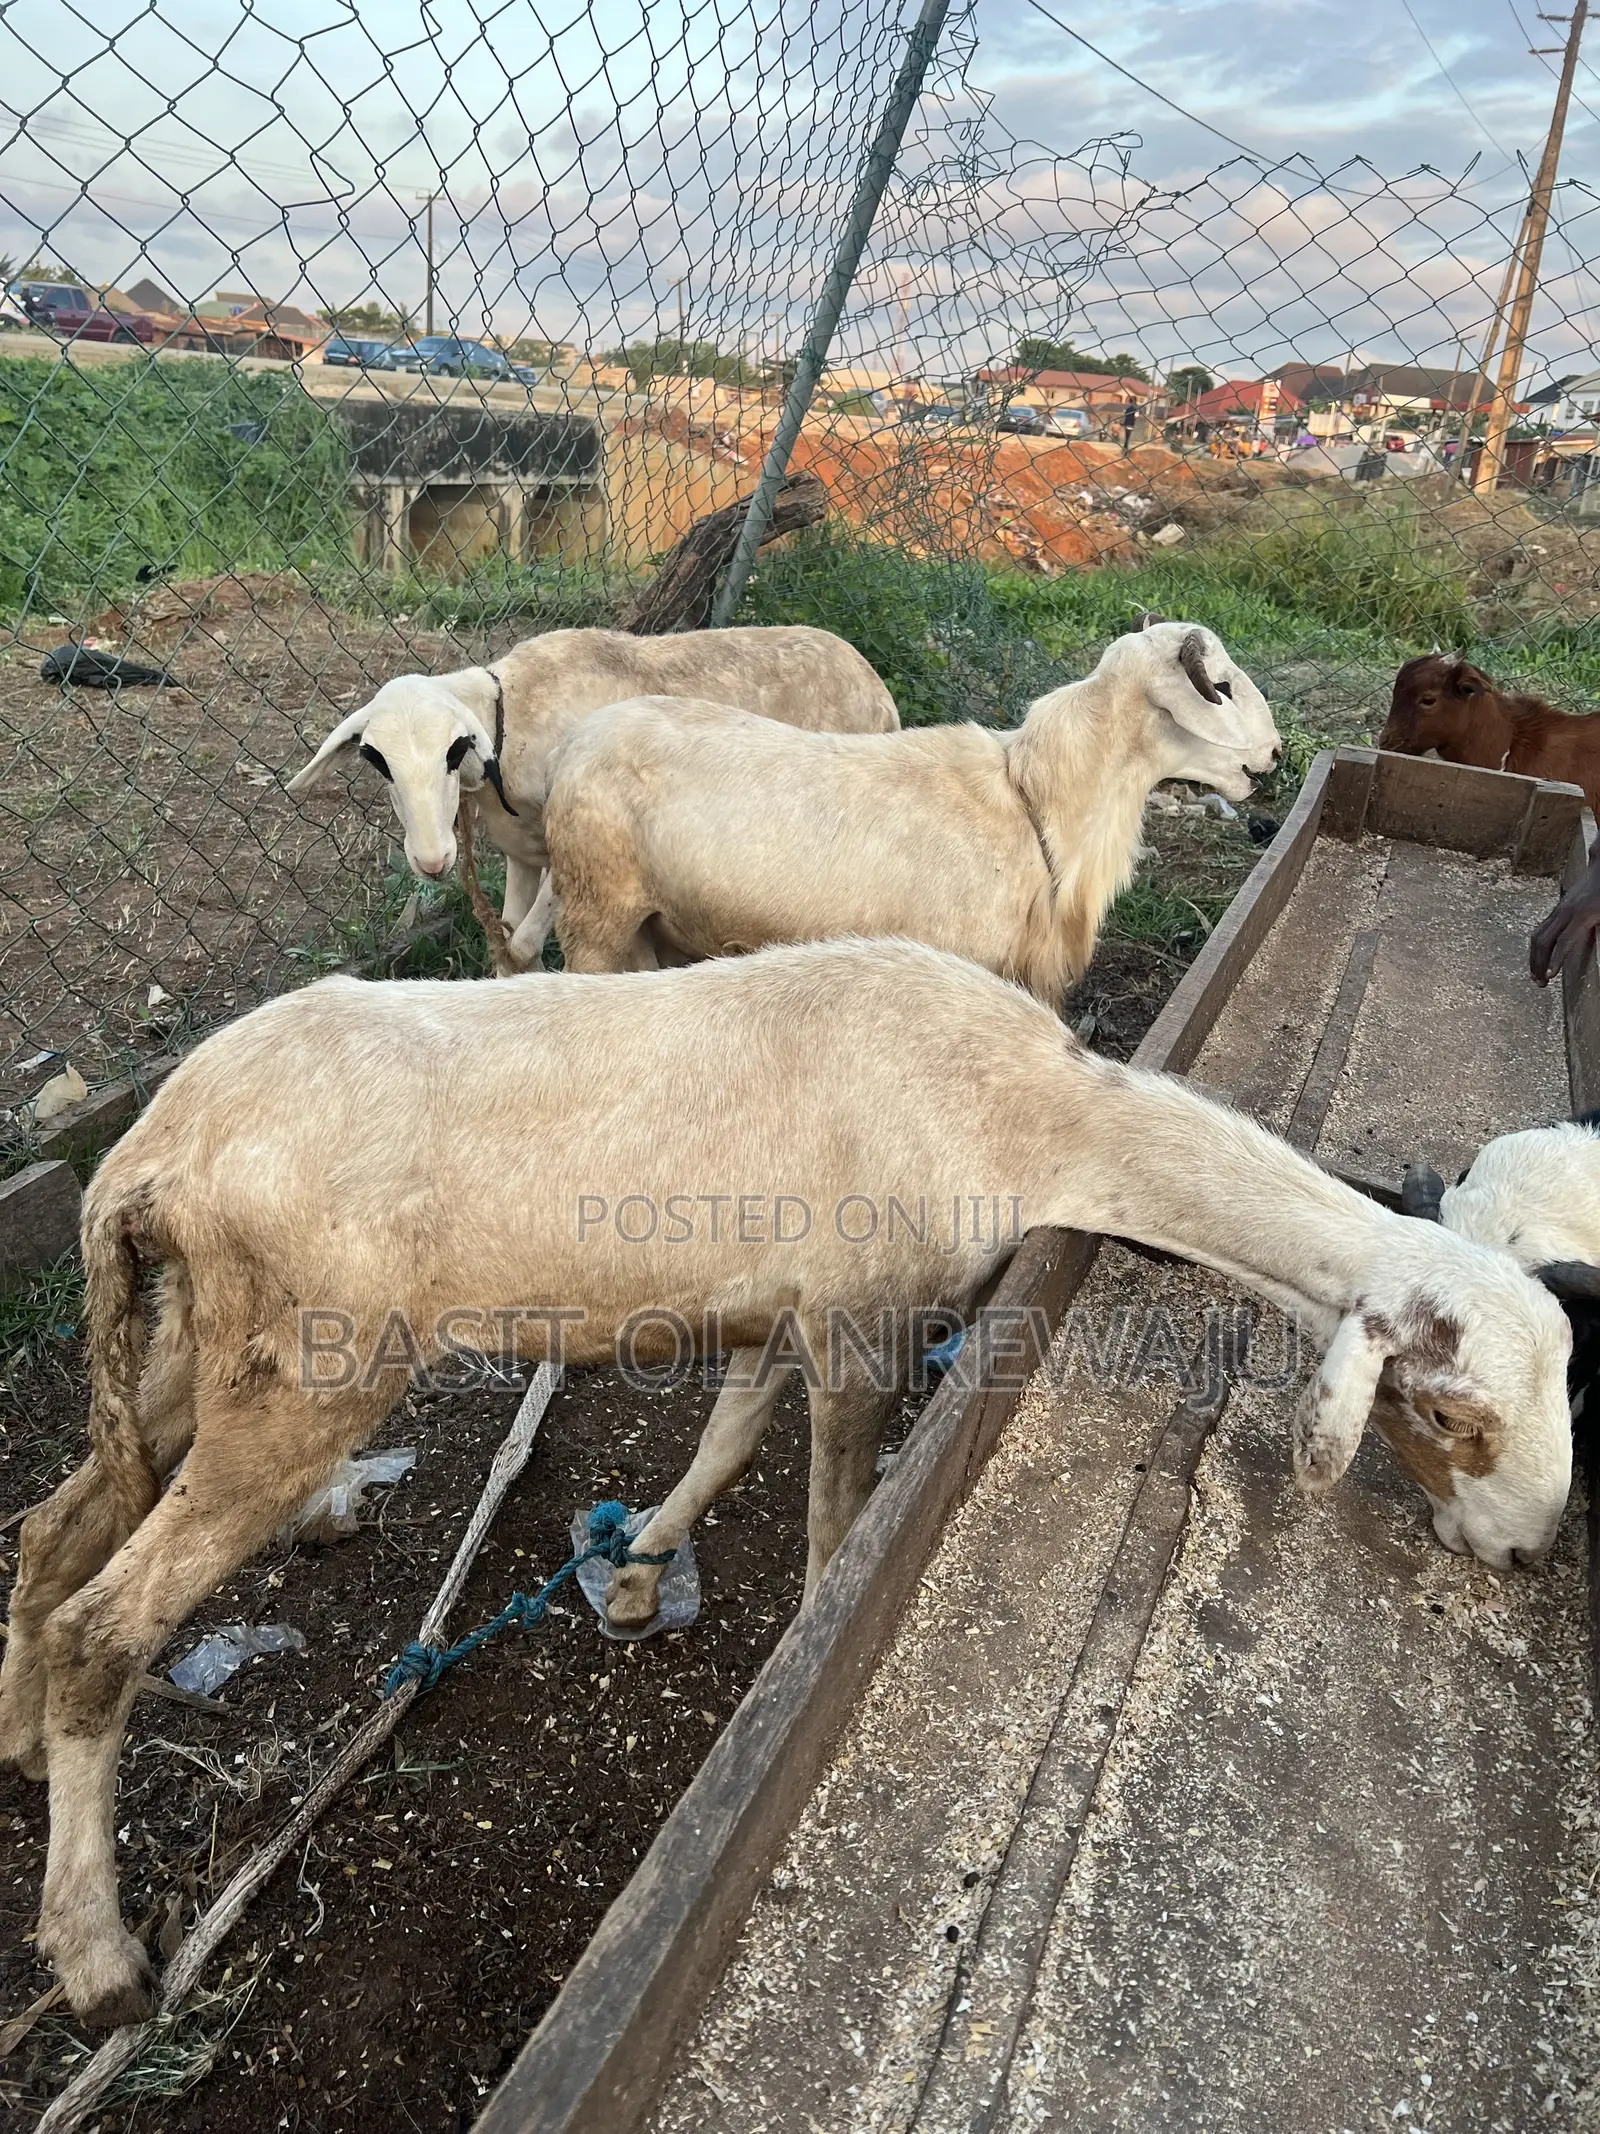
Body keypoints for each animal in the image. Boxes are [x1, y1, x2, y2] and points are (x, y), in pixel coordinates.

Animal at [0, 937, 1571, 2027]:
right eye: (1449, 1410)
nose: (1526, 1556)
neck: (1033, 1117)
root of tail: (144, 1153)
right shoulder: (864, 1313)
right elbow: (834, 1523)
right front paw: (799, 1674)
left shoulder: (778, 1305)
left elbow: (727, 1441)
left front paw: (639, 1570)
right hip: (310, 1357)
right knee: (106, 1622)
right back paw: (98, 1953)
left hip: (191, 1339)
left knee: (52, 1524)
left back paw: (16, 1737)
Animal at [287, 625, 900, 973]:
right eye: (375, 759)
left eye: (455, 749)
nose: (432, 861)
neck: (512, 717)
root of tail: (878, 687)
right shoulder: (522, 854)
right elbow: (509, 944)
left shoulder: (572, 859)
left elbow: (525, 948)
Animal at [543, 620, 1281, 999]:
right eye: (1219, 685)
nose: (1276, 755)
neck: (1036, 802)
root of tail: (572, 745)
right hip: (596, 914)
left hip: (659, 924)